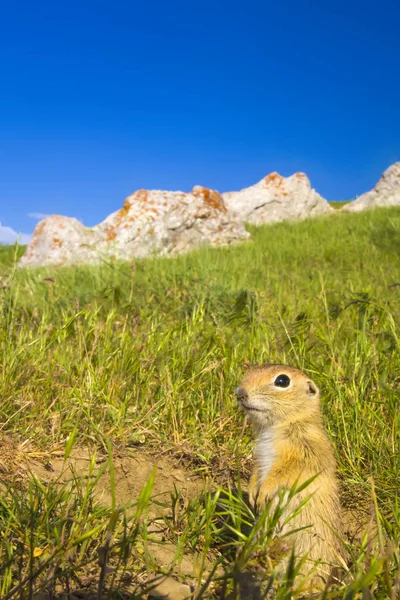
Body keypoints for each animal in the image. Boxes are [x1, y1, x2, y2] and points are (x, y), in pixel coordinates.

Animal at [236, 364, 346, 588]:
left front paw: (263, 494)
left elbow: (281, 473)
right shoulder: (260, 456)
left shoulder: (302, 452)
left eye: (282, 381)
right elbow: (257, 471)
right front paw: (252, 494)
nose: (240, 393)